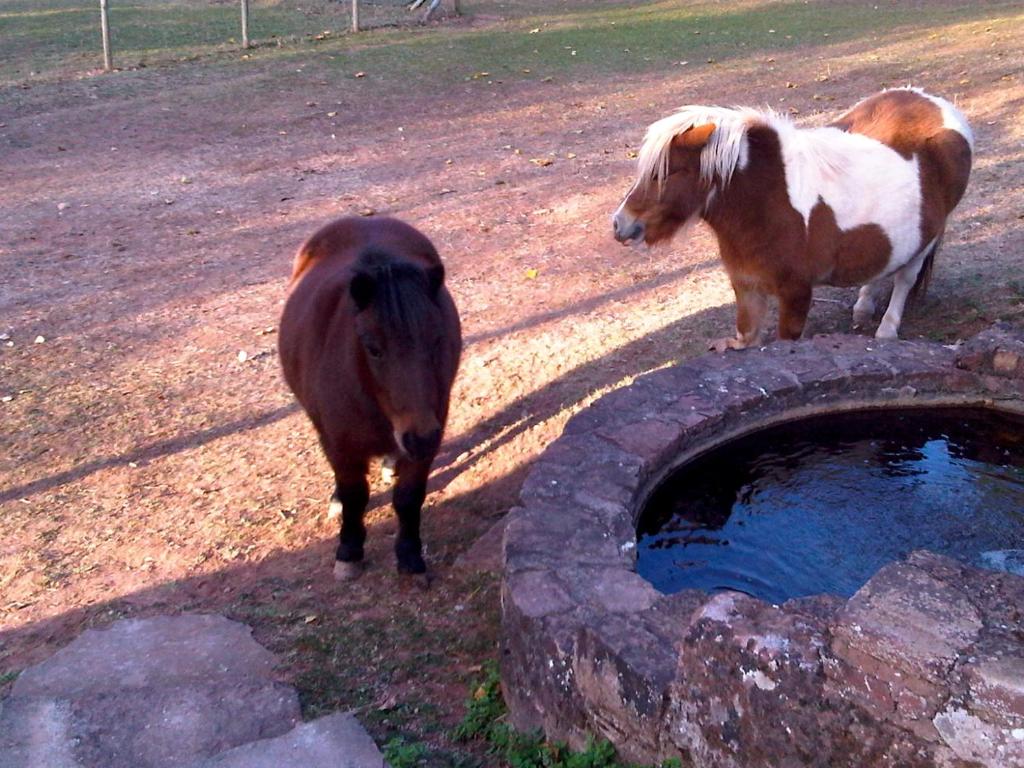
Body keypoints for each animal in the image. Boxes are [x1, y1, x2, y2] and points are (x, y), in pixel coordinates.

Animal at [276, 214, 460, 581]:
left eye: (437, 340)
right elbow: (354, 495)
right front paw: (349, 552)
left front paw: (410, 557)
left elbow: (408, 497)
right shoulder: (340, 445)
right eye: (373, 348)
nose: (419, 437)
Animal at [610, 87, 970, 348]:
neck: (766, 204)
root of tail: (936, 104)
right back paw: (864, 307)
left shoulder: (796, 294)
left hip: (928, 238)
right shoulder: (746, 288)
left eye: (668, 172)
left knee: (905, 278)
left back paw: (886, 330)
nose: (619, 224)